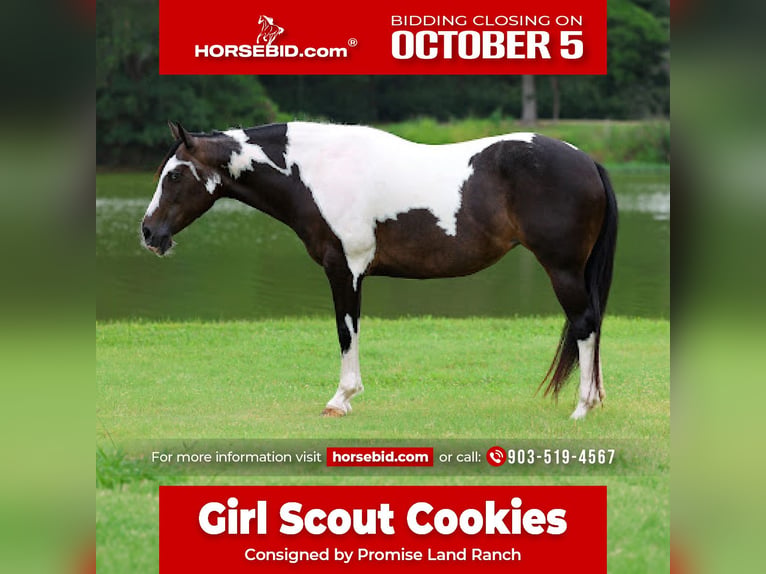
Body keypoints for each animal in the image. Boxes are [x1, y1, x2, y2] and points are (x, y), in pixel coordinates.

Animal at [141, 121, 617, 420]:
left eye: (175, 176)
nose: (148, 232)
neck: (318, 172)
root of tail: (588, 160)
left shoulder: (345, 269)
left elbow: (346, 330)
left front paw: (341, 399)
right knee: (591, 324)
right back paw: (593, 400)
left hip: (563, 269)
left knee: (584, 324)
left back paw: (582, 407)